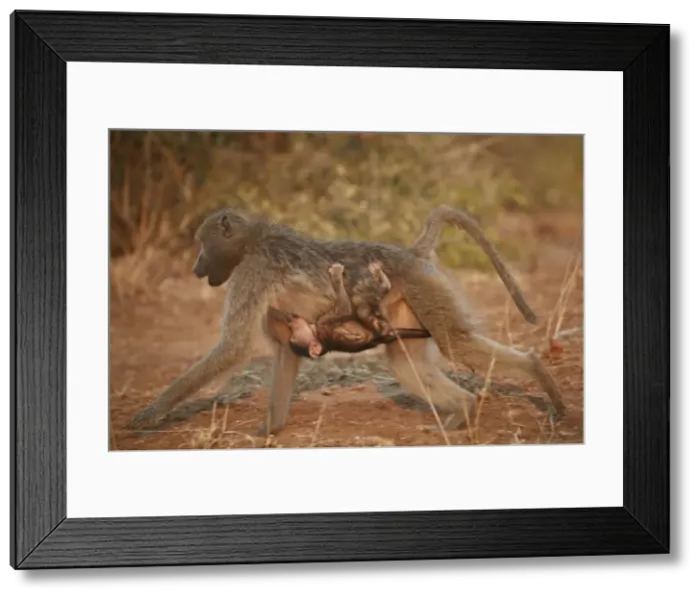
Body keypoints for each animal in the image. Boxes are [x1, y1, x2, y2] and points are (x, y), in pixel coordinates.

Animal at [127, 205, 565, 436]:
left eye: (203, 244)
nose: (196, 267)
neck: (254, 241)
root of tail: (412, 253)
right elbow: (285, 354)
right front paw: (269, 431)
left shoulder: (253, 272)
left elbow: (233, 348)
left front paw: (146, 416)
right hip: (404, 306)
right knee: (406, 366)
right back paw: (463, 411)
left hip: (424, 287)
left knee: (456, 342)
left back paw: (537, 376)